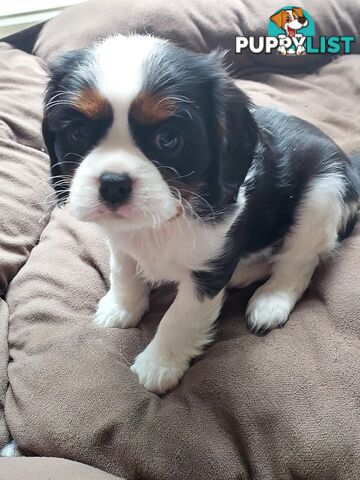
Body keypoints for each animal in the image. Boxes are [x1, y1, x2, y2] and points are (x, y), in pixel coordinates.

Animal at [43, 33, 360, 394]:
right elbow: (122, 269)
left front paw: (158, 364)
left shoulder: (208, 271)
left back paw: (270, 300)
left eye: (168, 139)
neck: (164, 219)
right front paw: (122, 307)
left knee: (297, 263)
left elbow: (180, 316)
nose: (112, 183)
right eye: (78, 133)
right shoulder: (121, 241)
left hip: (322, 194)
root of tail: (347, 162)